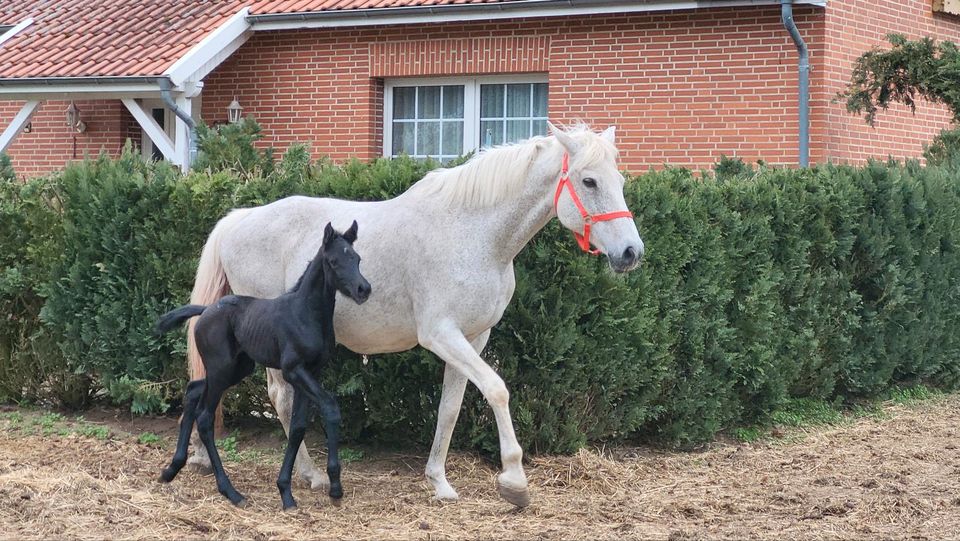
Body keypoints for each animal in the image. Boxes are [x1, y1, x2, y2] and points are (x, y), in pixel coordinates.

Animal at [156, 221, 370, 508]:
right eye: (334, 261)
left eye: (357, 259)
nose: (363, 289)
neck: (305, 314)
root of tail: (205, 310)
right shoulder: (293, 370)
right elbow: (330, 407)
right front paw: (335, 487)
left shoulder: (311, 371)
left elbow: (298, 426)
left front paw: (286, 491)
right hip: (221, 369)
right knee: (205, 417)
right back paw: (231, 492)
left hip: (235, 368)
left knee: (192, 390)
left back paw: (171, 469)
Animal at [183, 122, 640, 506]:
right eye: (589, 180)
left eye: (619, 181)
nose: (631, 252)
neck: (475, 234)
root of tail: (238, 219)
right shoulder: (441, 335)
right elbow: (497, 390)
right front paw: (514, 481)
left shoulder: (474, 338)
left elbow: (450, 407)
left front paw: (439, 481)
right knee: (279, 397)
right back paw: (310, 475)